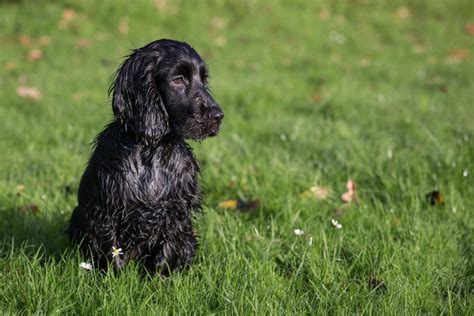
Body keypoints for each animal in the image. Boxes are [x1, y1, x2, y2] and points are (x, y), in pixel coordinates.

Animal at [68, 37, 224, 274]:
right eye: (178, 80)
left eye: (203, 79)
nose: (218, 116)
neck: (153, 152)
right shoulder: (105, 210)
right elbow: (112, 253)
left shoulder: (177, 212)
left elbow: (166, 254)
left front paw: (158, 279)